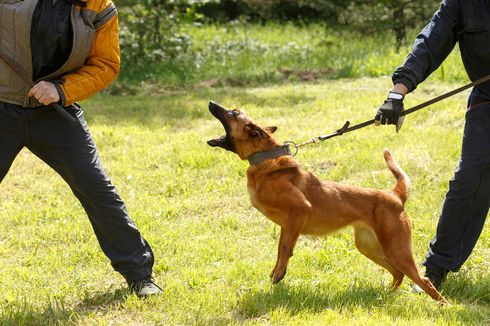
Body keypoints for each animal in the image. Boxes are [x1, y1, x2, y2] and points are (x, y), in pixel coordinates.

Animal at [207, 101, 448, 304]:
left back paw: (444, 306)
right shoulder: (287, 225)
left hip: (397, 249)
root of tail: (395, 196)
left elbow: (284, 247)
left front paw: (280, 274)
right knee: (398, 273)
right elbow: (281, 248)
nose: (211, 103)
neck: (266, 160)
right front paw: (276, 272)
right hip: (370, 246)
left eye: (232, 113)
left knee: (423, 280)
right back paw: (384, 296)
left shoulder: (299, 210)